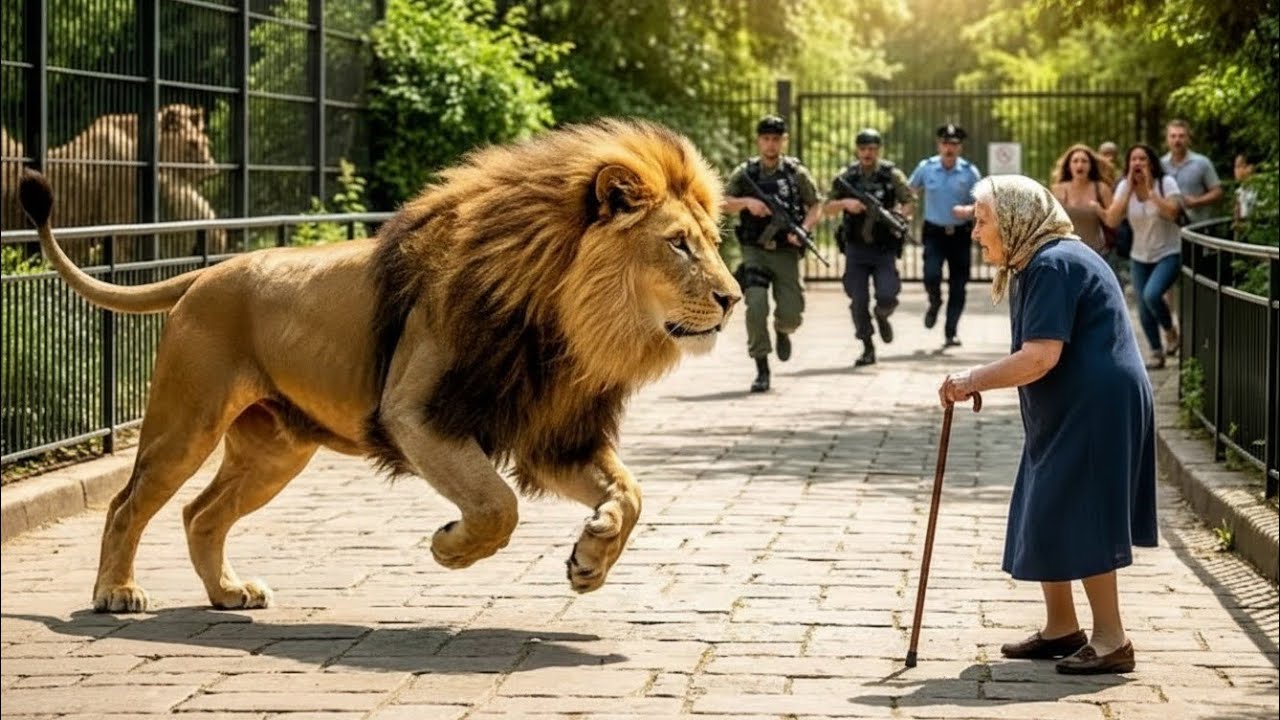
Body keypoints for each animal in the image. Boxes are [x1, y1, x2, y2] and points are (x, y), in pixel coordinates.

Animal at [18, 118, 741, 614]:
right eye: (678, 245)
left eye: (712, 243)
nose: (733, 299)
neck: (568, 322)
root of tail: (205, 273)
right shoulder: (414, 413)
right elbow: (497, 503)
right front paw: (451, 547)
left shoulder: (554, 434)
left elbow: (632, 494)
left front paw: (590, 560)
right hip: (185, 423)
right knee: (128, 503)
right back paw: (116, 592)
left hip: (275, 449)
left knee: (201, 513)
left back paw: (227, 592)